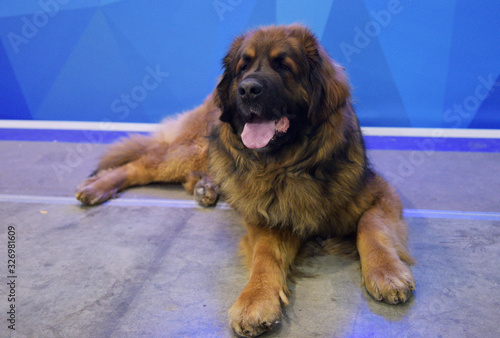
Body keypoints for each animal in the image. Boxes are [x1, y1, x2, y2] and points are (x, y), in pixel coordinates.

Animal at [76, 24, 416, 338]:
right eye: (244, 66)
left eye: (283, 65)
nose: (247, 89)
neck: (289, 165)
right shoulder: (267, 214)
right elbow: (265, 255)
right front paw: (256, 299)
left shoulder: (379, 193)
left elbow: (371, 226)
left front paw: (386, 272)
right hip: (195, 149)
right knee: (142, 164)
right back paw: (97, 187)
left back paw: (206, 187)